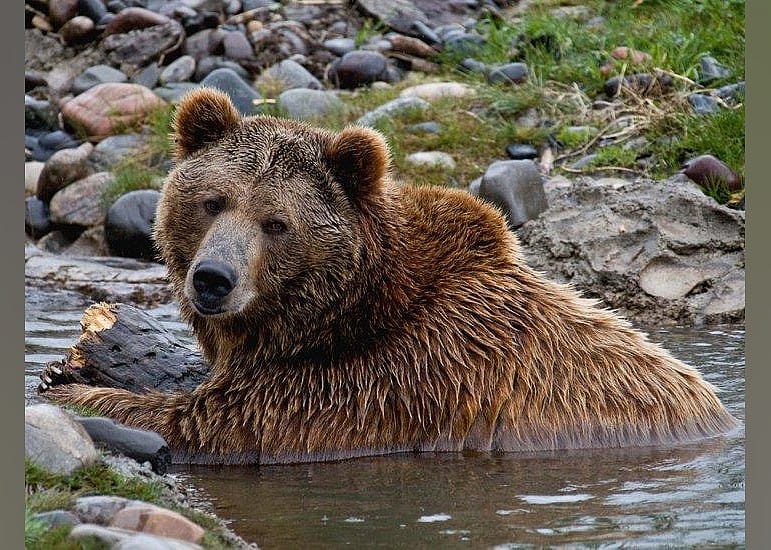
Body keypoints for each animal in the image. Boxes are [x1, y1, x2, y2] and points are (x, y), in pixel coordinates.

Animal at [42, 87, 738, 464]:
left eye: (276, 222)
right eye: (214, 201)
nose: (213, 278)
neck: (354, 307)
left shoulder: (390, 381)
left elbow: (213, 422)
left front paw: (72, 389)